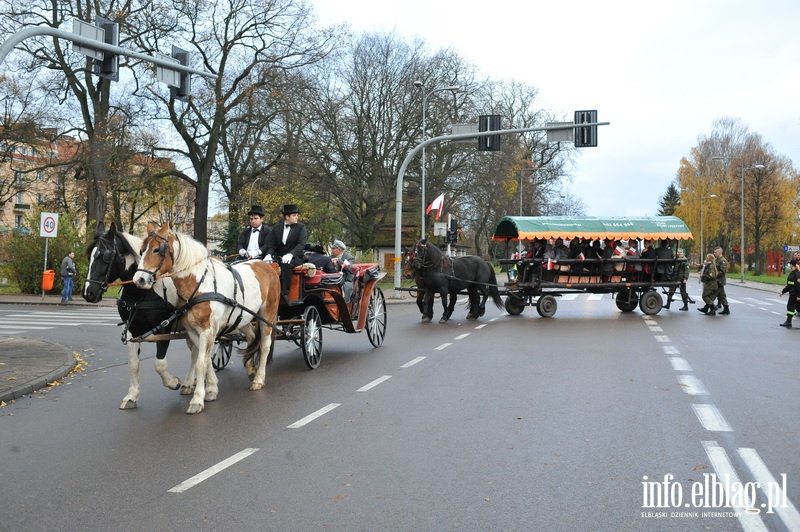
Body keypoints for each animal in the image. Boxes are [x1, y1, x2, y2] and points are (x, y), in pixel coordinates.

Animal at [85, 222, 184, 410]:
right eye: (89, 256)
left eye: (106, 256)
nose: (89, 293)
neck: (141, 294)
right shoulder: (132, 330)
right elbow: (133, 364)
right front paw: (132, 395)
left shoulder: (164, 329)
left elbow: (159, 364)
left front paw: (174, 382)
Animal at [132, 222, 282, 414]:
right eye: (141, 250)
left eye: (157, 249)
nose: (139, 280)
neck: (200, 285)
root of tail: (268, 266)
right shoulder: (194, 331)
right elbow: (205, 360)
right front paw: (210, 390)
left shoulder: (207, 329)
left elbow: (201, 363)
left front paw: (197, 399)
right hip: (243, 318)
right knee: (251, 337)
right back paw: (251, 370)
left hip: (266, 315)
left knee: (264, 345)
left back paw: (259, 379)